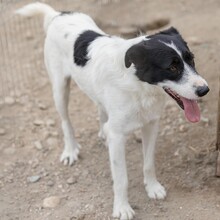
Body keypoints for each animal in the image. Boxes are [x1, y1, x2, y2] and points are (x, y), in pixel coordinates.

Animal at [16, 2, 209, 220]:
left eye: (191, 60)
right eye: (172, 68)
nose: (205, 90)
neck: (140, 87)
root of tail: (59, 14)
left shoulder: (151, 125)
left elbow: (149, 162)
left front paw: (152, 187)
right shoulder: (118, 136)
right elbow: (121, 178)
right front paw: (122, 207)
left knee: (100, 108)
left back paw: (102, 132)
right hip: (59, 89)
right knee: (65, 121)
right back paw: (70, 150)